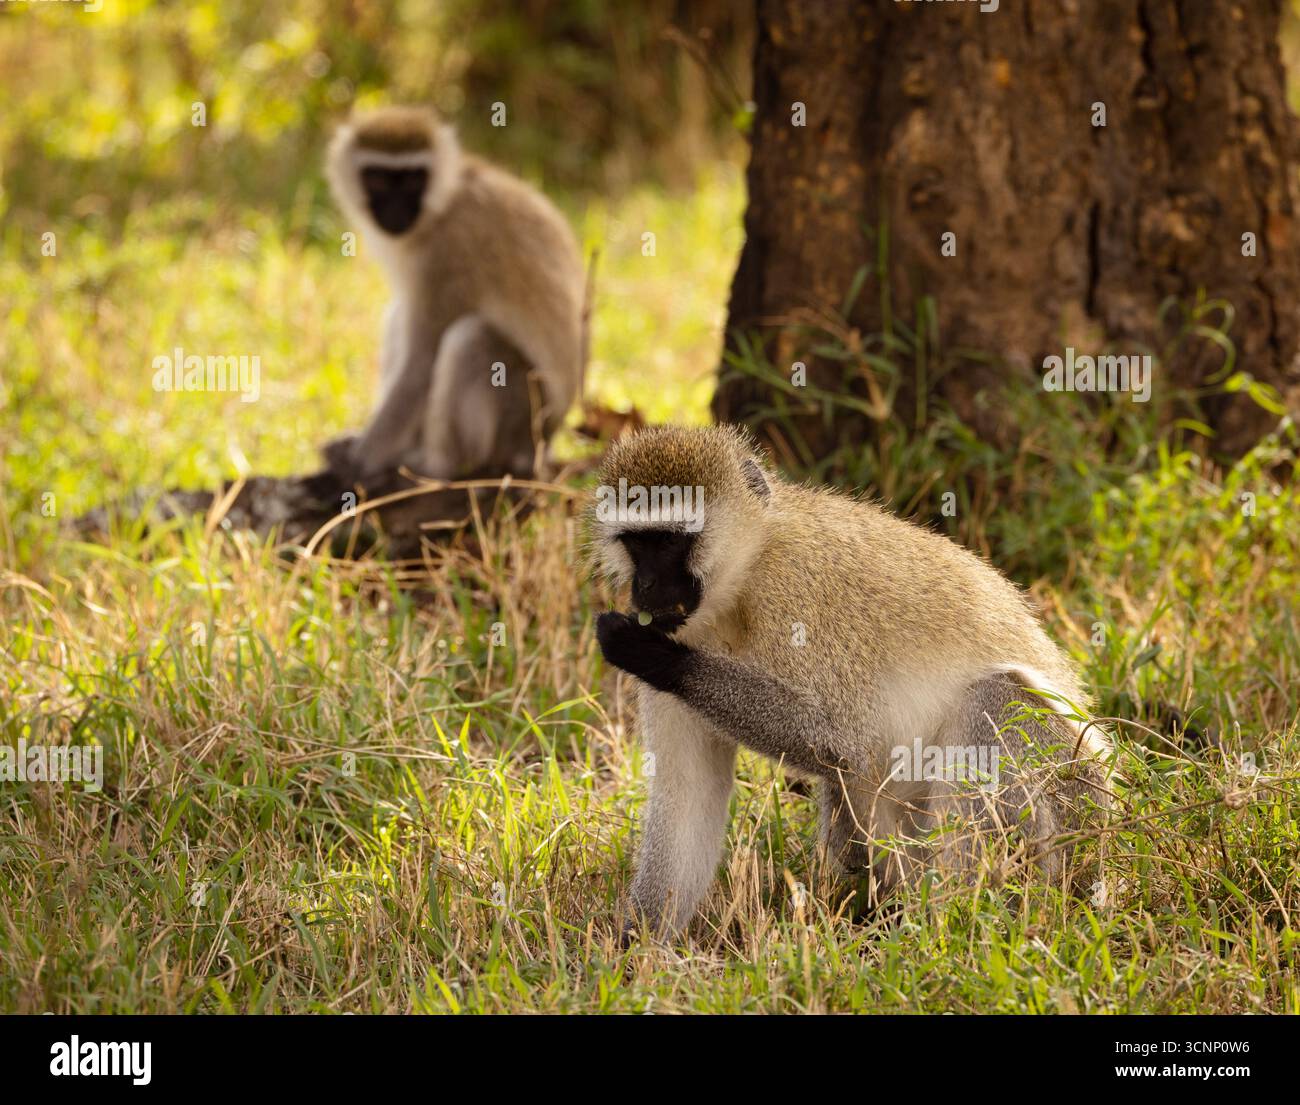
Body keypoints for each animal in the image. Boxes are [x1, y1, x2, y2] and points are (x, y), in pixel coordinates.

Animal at [322, 105, 585, 489]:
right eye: (378, 179)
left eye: (413, 179)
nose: (396, 211)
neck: (441, 206)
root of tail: (544, 446)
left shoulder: (451, 252)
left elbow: (422, 362)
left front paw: (360, 460)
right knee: (400, 317)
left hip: (524, 416)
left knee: (470, 340)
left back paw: (434, 467)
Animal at [589, 424, 1113, 938]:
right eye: (636, 544)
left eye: (671, 542)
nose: (645, 588)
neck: (739, 586)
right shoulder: (685, 624)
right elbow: (687, 795)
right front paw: (634, 949)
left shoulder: (796, 587)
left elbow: (842, 740)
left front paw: (652, 655)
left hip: (1075, 796)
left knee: (993, 698)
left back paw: (953, 923)